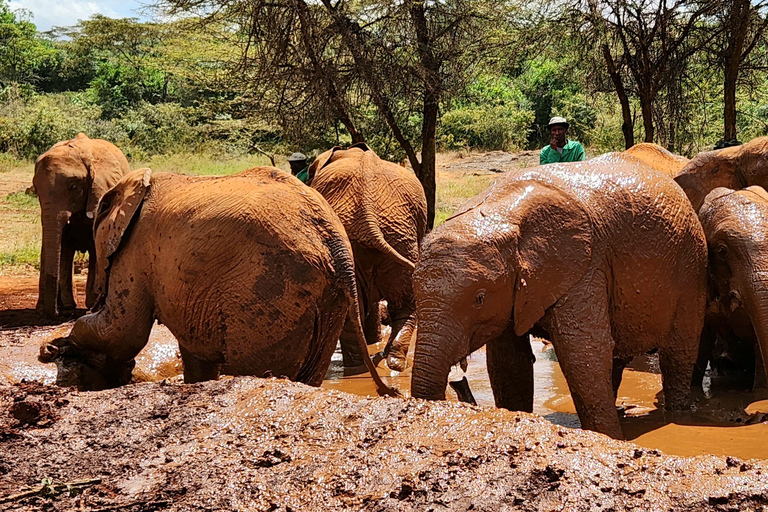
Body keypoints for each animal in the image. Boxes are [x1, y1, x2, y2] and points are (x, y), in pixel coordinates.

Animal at [34, 132, 130, 316]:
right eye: (36, 190)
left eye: (73, 186)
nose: (55, 313)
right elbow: (59, 243)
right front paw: (59, 307)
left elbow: (97, 242)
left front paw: (91, 305)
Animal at [36, 165, 396, 396]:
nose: (47, 349)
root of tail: (336, 244)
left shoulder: (136, 248)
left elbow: (123, 331)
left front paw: (54, 347)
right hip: (327, 300)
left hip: (268, 292)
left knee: (255, 365)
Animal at [306, 144, 426, 372]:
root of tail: (368, 218)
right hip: (399, 238)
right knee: (399, 304)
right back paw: (391, 364)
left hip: (394, 238)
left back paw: (366, 366)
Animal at [408, 154, 708, 438]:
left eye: (479, 298)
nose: (458, 385)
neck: (499, 211)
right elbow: (508, 362)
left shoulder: (585, 265)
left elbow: (583, 350)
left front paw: (609, 437)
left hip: (692, 264)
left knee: (678, 355)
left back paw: (676, 417)